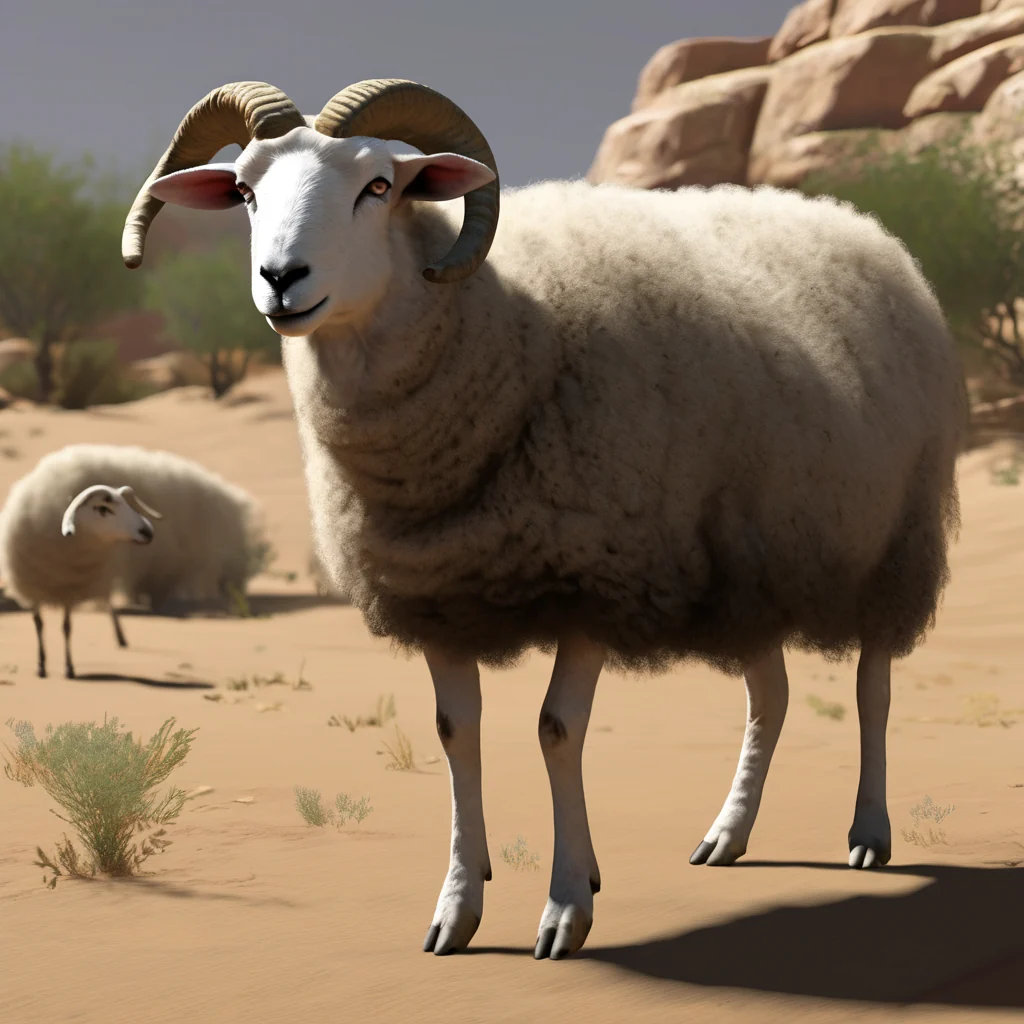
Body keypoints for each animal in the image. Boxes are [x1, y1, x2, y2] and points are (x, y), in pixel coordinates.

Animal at [0, 443, 269, 676]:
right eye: (103, 509)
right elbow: (40, 626)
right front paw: (42, 665)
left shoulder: (70, 588)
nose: (148, 530)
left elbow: (67, 627)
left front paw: (69, 668)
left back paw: (123, 634)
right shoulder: (35, 588)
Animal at [122, 79, 967, 960]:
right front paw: (459, 905)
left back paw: (868, 832)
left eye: (379, 185)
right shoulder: (437, 586)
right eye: (246, 191)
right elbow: (455, 734)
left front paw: (566, 905)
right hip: (752, 564)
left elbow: (558, 731)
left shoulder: (596, 571)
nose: (281, 278)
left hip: (893, 544)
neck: (494, 328)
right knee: (770, 695)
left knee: (873, 690)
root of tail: (859, 224)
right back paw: (728, 835)